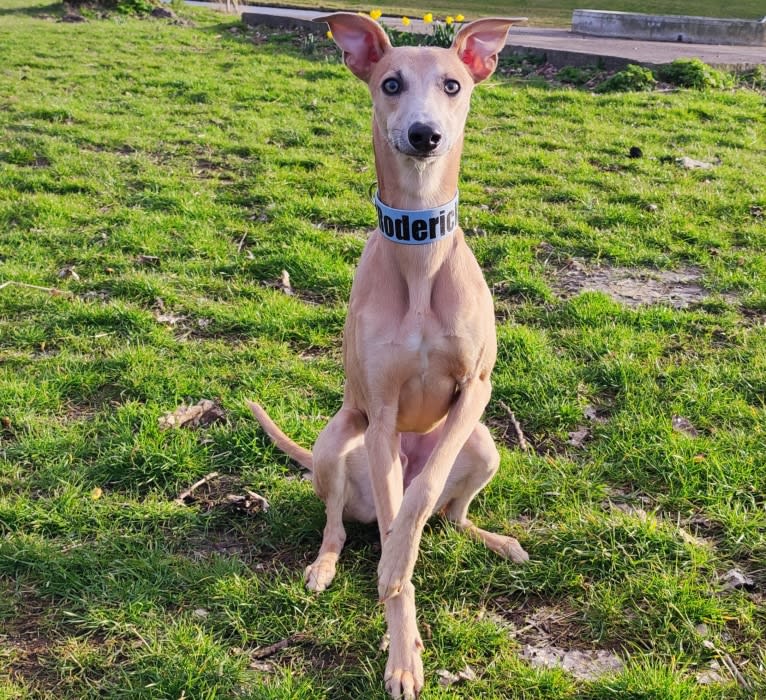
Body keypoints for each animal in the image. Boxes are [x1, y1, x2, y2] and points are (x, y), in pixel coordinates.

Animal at [249, 12, 528, 698]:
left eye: (453, 84)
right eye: (391, 83)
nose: (424, 135)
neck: (420, 257)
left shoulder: (476, 390)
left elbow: (422, 497)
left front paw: (399, 568)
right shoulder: (379, 415)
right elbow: (396, 520)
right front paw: (403, 653)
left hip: (487, 445)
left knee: (449, 516)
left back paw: (496, 541)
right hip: (335, 444)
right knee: (336, 523)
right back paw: (324, 566)